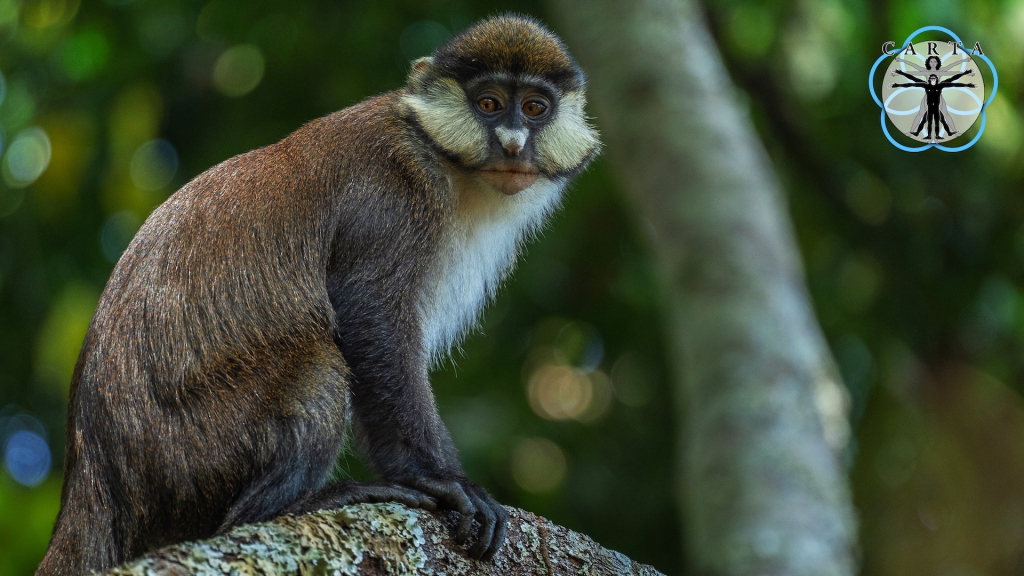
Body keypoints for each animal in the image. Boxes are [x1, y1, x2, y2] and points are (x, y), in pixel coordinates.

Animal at [36, 14, 598, 573]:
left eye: (534, 108)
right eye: (489, 104)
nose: (512, 143)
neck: (443, 160)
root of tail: (93, 480)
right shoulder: (392, 198)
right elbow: (372, 317)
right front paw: (440, 479)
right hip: (190, 455)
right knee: (318, 364)